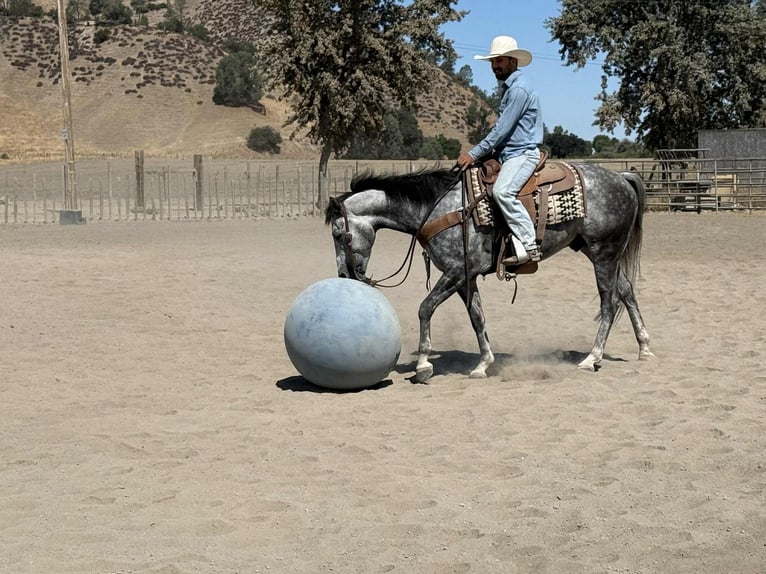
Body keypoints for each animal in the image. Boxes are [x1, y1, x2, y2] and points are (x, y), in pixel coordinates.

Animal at [324, 163, 654, 383]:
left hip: (603, 253)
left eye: (339, 234)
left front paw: (423, 366)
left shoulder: (455, 272)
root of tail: (622, 177)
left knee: (609, 302)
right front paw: (483, 364)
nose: (343, 275)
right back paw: (644, 348)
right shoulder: (465, 278)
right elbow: (477, 317)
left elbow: (425, 308)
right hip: (599, 252)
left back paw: (591, 358)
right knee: (627, 291)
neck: (438, 208)